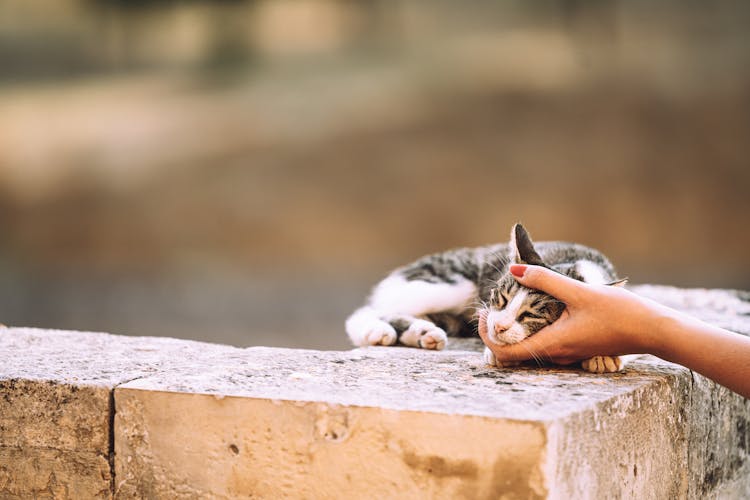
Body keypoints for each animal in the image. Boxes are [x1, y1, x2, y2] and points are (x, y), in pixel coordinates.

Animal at [348, 223, 636, 372]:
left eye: (530, 315)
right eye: (502, 298)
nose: (498, 327)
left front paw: (603, 355)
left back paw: (422, 333)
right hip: (448, 283)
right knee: (370, 309)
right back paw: (376, 330)